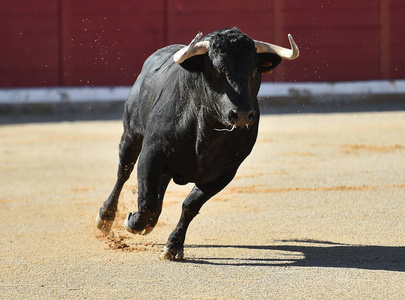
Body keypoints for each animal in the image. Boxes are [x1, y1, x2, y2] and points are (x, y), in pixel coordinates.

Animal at [94, 27, 296, 260]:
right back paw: (105, 218)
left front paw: (173, 247)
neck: (205, 132)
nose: (243, 114)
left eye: (254, 71)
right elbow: (146, 201)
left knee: (159, 184)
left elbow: (190, 205)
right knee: (123, 173)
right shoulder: (151, 152)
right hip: (131, 135)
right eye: (217, 71)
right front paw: (133, 222)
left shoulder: (225, 172)